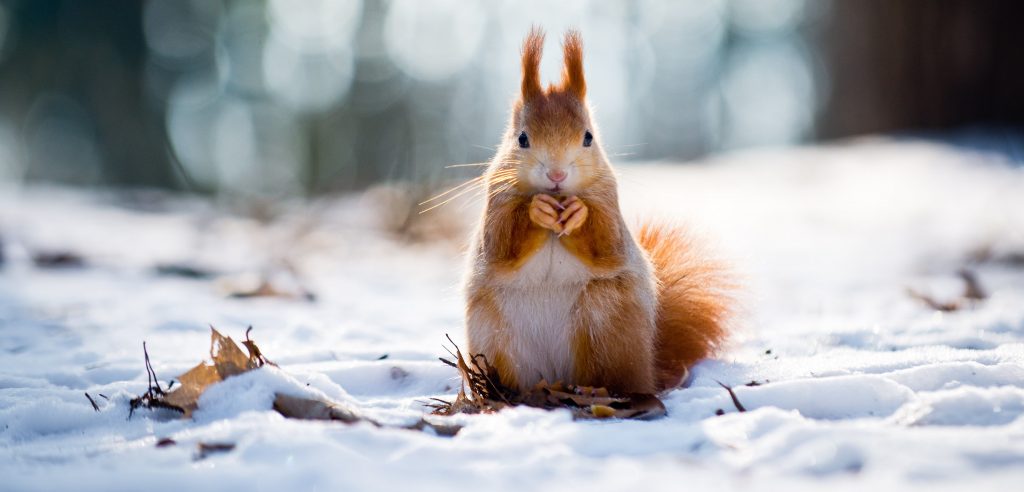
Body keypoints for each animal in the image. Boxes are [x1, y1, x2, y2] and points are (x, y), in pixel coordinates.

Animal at [464, 27, 729, 395]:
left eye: (588, 137)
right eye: (522, 139)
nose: (557, 175)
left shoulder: (608, 202)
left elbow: (606, 242)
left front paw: (579, 214)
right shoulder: (496, 202)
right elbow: (502, 244)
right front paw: (536, 210)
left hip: (605, 320)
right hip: (494, 334)